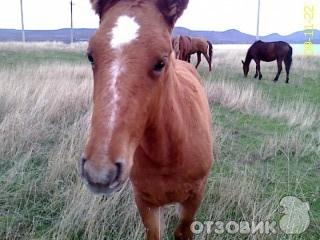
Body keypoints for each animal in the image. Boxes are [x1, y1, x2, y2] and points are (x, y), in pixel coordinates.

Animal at [81, 0, 214, 239]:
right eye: (90, 56)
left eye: (161, 62)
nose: (99, 172)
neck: (168, 154)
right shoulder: (146, 202)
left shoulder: (194, 198)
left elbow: (183, 231)